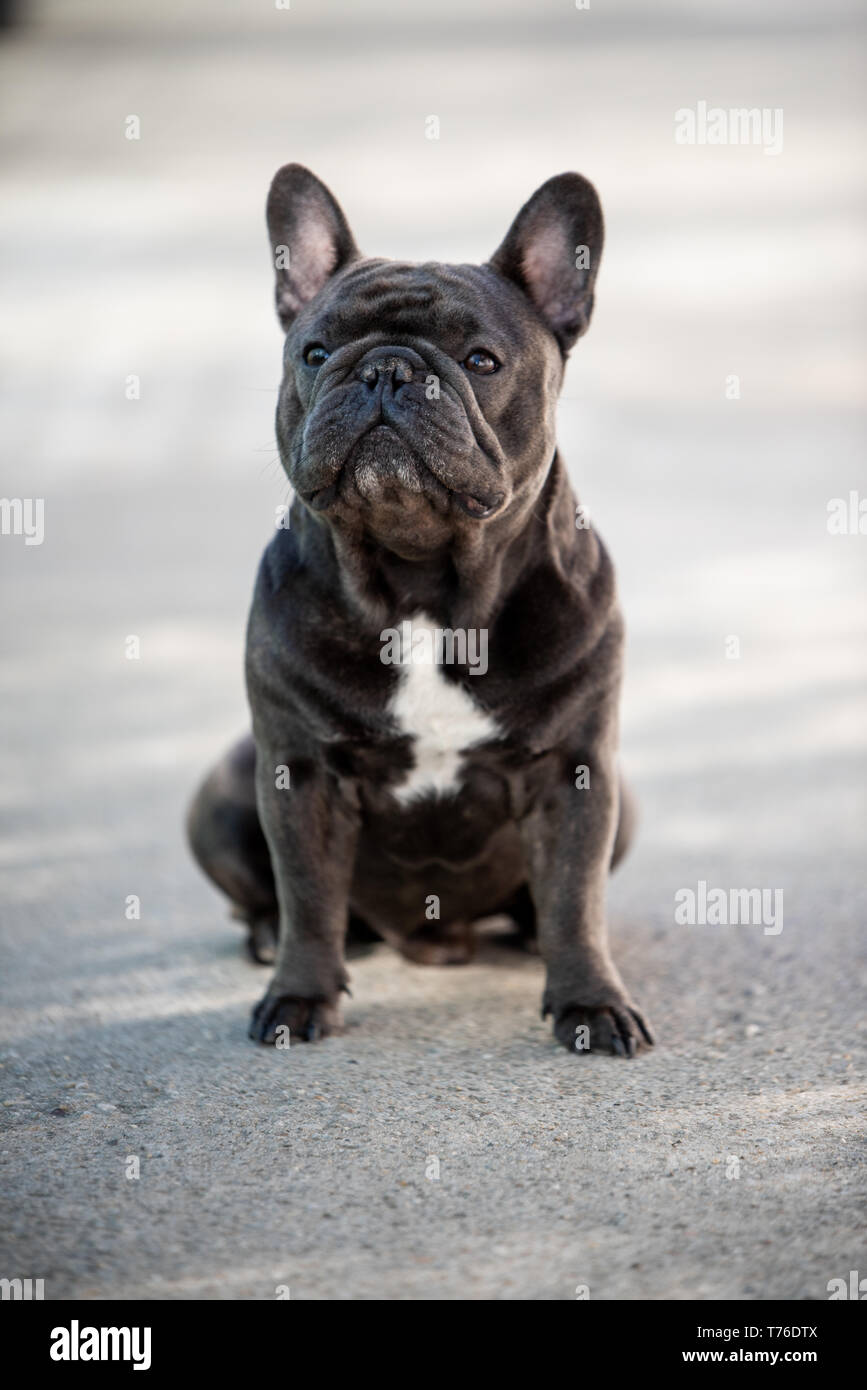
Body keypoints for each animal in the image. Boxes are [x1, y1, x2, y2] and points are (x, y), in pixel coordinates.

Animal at [187, 165, 650, 1050]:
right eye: (315, 352)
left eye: (481, 359)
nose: (386, 370)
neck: (424, 591)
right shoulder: (299, 772)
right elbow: (308, 896)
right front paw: (299, 997)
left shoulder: (576, 774)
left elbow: (575, 901)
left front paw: (589, 1004)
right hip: (226, 787)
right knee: (270, 901)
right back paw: (265, 938)